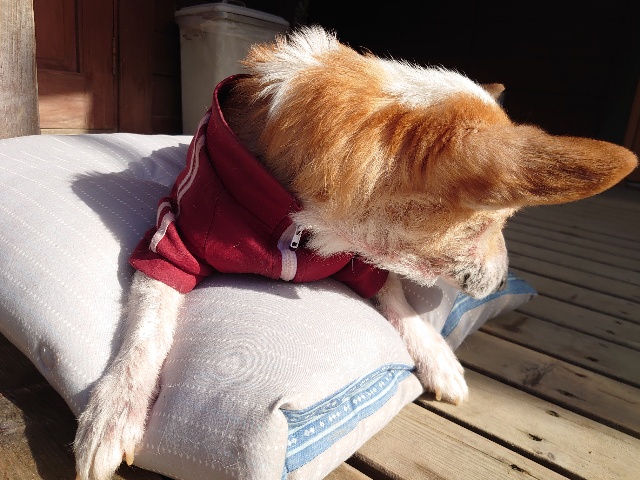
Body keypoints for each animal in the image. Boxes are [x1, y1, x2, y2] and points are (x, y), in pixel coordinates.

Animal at [73, 26, 637, 480]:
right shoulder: (171, 246)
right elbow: (146, 329)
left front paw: (437, 357)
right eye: (492, 222)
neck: (304, 222)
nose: (502, 282)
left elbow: (401, 303)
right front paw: (114, 411)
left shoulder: (364, 264)